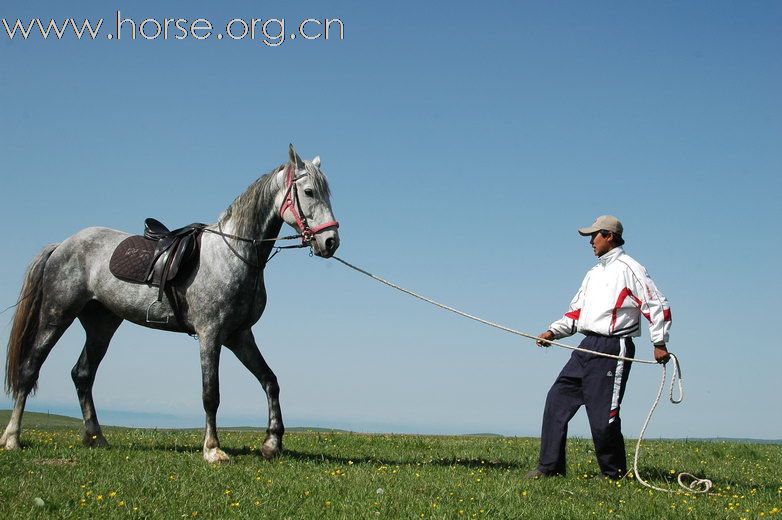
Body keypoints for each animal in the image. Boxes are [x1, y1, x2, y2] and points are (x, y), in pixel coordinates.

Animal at [2, 143, 340, 464]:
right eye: (309, 192)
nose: (331, 242)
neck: (233, 254)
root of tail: (62, 245)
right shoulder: (210, 335)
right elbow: (211, 393)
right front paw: (213, 449)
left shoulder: (239, 336)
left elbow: (270, 381)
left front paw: (272, 443)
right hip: (56, 316)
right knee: (30, 369)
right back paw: (12, 439)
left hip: (101, 325)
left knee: (82, 374)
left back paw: (96, 438)